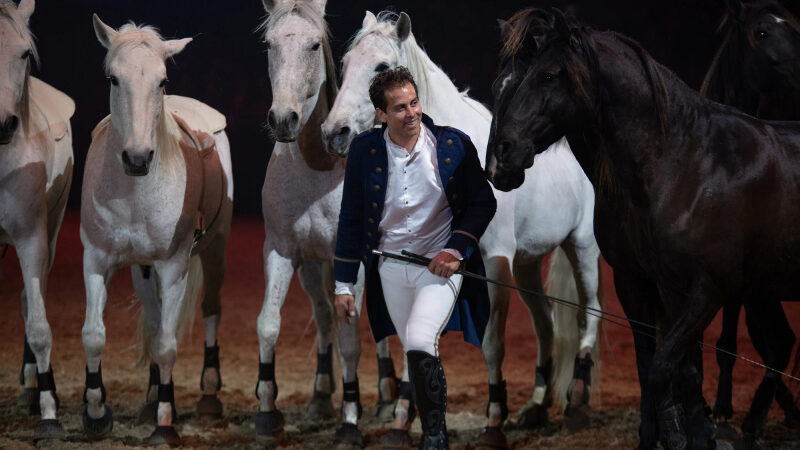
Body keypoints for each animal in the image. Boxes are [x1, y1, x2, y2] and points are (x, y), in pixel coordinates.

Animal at [80, 14, 233, 446]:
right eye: (113, 78)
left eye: (162, 81)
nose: (136, 157)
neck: (135, 192)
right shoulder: (97, 261)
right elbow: (94, 335)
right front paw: (96, 415)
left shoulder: (173, 266)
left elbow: (166, 345)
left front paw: (165, 425)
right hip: (142, 270)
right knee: (153, 319)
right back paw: (151, 397)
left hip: (214, 250)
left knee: (210, 309)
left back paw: (207, 394)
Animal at [322, 10, 604, 446]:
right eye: (345, 63)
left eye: (382, 67)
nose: (334, 133)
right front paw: (402, 420)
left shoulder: (494, 261)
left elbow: (492, 343)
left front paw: (493, 421)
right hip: (527, 267)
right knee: (546, 325)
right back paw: (536, 406)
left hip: (582, 247)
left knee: (590, 313)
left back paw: (576, 401)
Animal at [488, 7, 800, 450]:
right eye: (502, 84)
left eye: (548, 75)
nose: (502, 156)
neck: (689, 163)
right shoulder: (647, 285)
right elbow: (667, 368)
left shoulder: (707, 291)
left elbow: (664, 369)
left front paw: (695, 433)